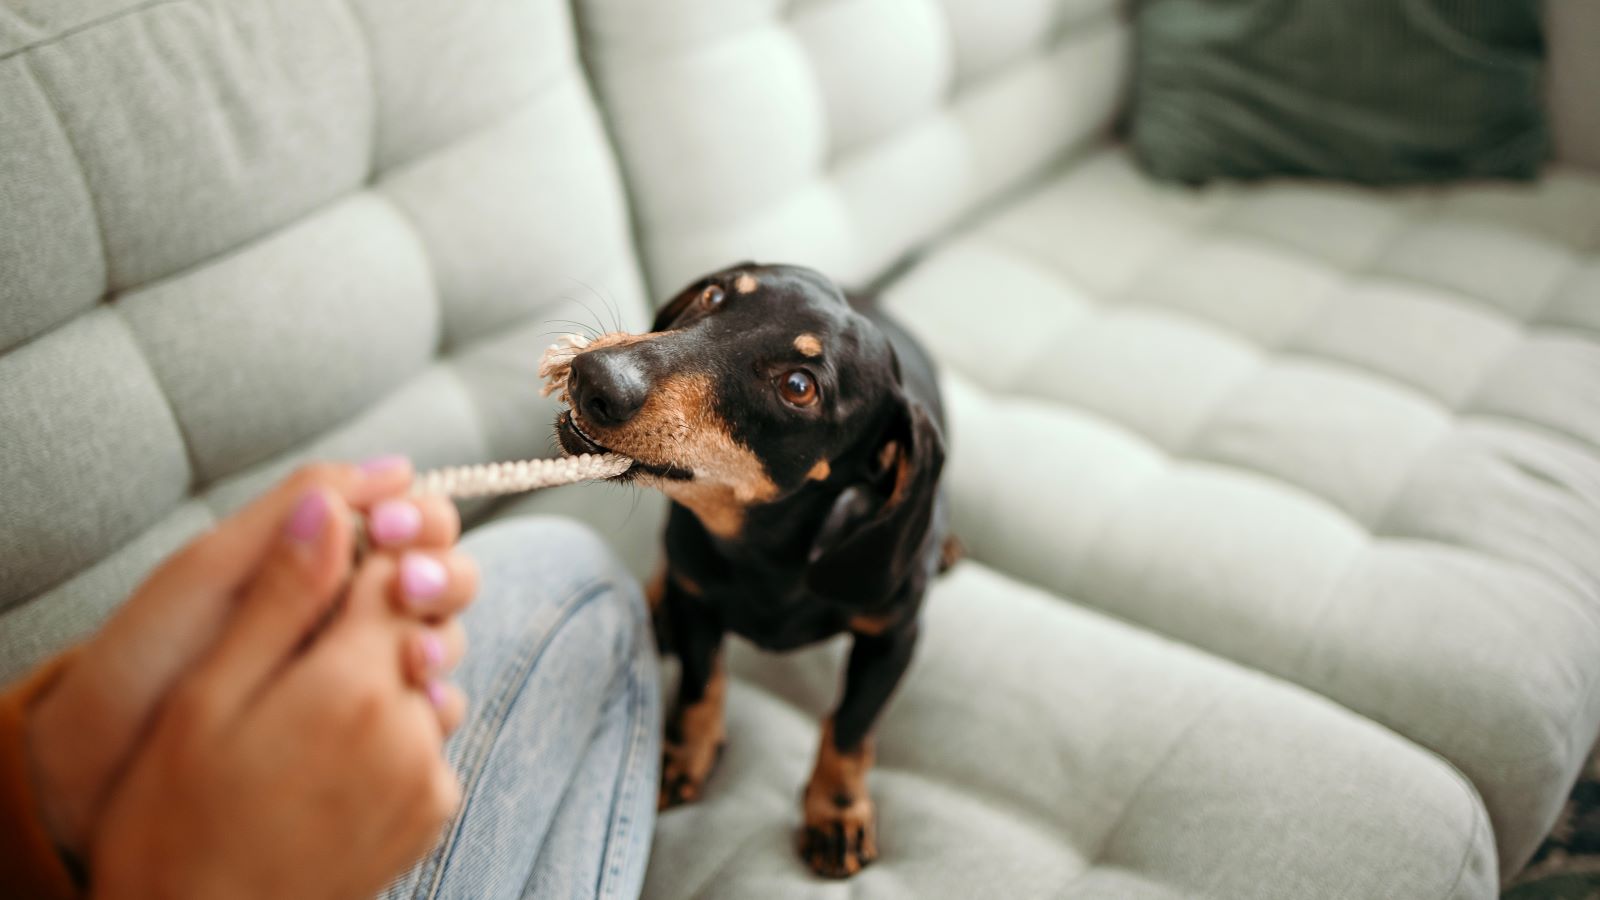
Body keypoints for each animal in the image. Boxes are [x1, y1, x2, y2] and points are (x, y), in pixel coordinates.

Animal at [550, 261, 947, 877]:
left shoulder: (895, 637)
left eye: (799, 387)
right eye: (714, 295)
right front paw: (682, 755)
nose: (593, 376)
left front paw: (836, 811)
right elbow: (701, 683)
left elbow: (851, 725)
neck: (766, 553)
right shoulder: (697, 601)